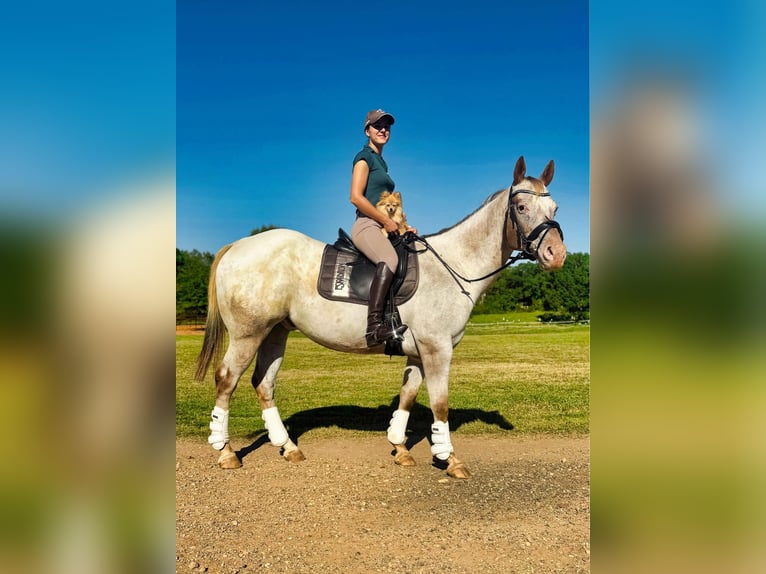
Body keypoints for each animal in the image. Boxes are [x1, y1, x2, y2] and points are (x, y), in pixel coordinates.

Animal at [194, 155, 566, 478]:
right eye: (522, 208)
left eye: (554, 209)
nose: (557, 255)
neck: (453, 265)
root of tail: (237, 245)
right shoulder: (437, 349)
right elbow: (440, 405)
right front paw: (450, 458)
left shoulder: (419, 351)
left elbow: (408, 396)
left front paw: (400, 449)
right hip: (248, 334)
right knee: (227, 379)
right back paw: (226, 451)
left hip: (276, 332)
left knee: (264, 383)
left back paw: (287, 447)